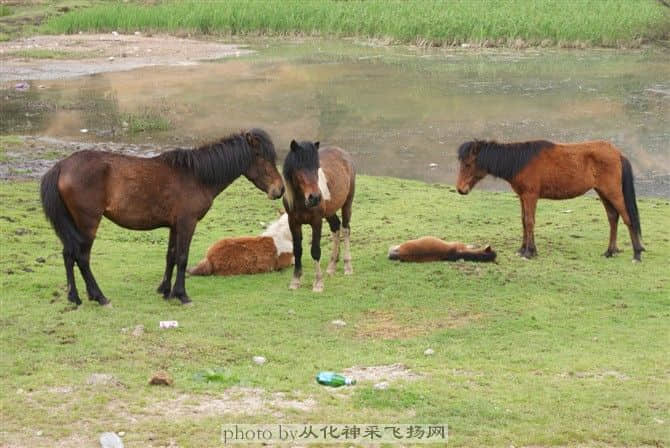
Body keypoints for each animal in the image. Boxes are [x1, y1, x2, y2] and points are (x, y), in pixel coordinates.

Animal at [40, 129, 285, 306]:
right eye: (261, 156)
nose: (279, 190)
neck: (196, 176)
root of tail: (62, 166)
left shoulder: (174, 226)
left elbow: (171, 256)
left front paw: (166, 291)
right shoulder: (187, 223)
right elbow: (182, 258)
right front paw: (182, 295)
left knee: (68, 254)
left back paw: (75, 297)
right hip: (88, 223)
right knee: (81, 257)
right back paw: (99, 297)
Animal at [282, 140, 356, 292]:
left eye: (316, 168)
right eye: (299, 168)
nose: (315, 197)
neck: (301, 201)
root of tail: (343, 153)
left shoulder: (316, 222)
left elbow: (315, 251)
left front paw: (318, 283)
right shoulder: (293, 222)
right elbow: (297, 250)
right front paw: (295, 281)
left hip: (347, 204)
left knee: (345, 229)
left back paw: (347, 266)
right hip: (330, 212)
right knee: (336, 227)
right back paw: (332, 266)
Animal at [456, 139, 644, 261]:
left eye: (468, 164)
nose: (460, 189)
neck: (521, 161)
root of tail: (618, 153)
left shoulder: (530, 196)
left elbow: (529, 221)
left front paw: (529, 252)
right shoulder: (523, 197)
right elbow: (523, 221)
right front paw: (523, 249)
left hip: (612, 193)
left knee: (627, 219)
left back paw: (637, 253)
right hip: (603, 193)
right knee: (613, 218)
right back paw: (610, 252)